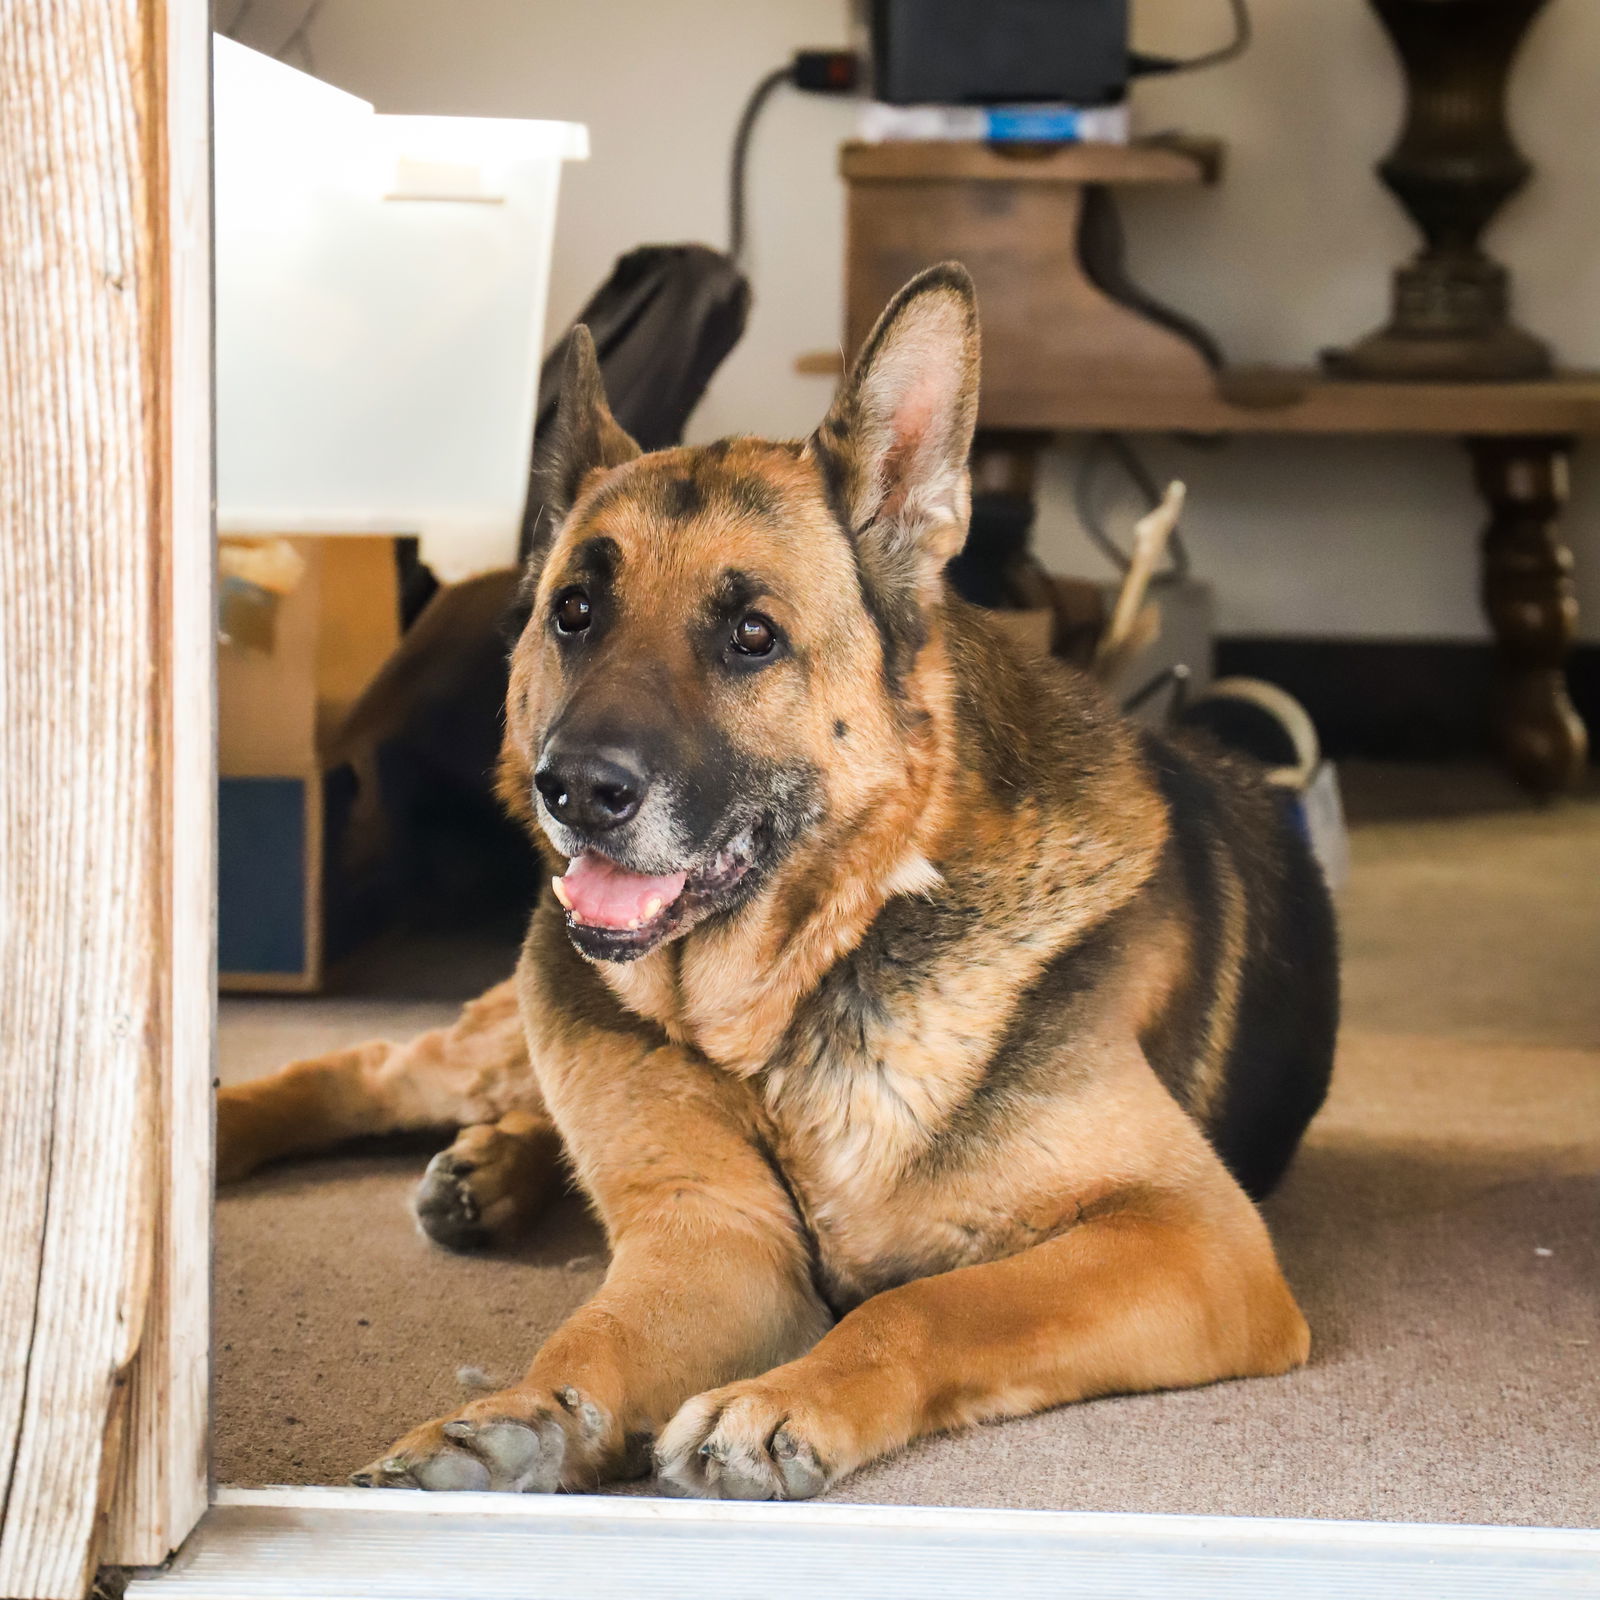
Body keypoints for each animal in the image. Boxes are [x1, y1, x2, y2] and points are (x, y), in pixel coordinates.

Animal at [216, 265, 1337, 1497]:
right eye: (574, 613)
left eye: (753, 635)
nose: (575, 791)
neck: (788, 1004)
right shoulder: (719, 1239)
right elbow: (590, 1340)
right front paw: (519, 1414)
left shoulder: (1189, 1237)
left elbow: (929, 1305)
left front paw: (783, 1400)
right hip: (520, 1015)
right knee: (364, 1067)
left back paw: (492, 1167)